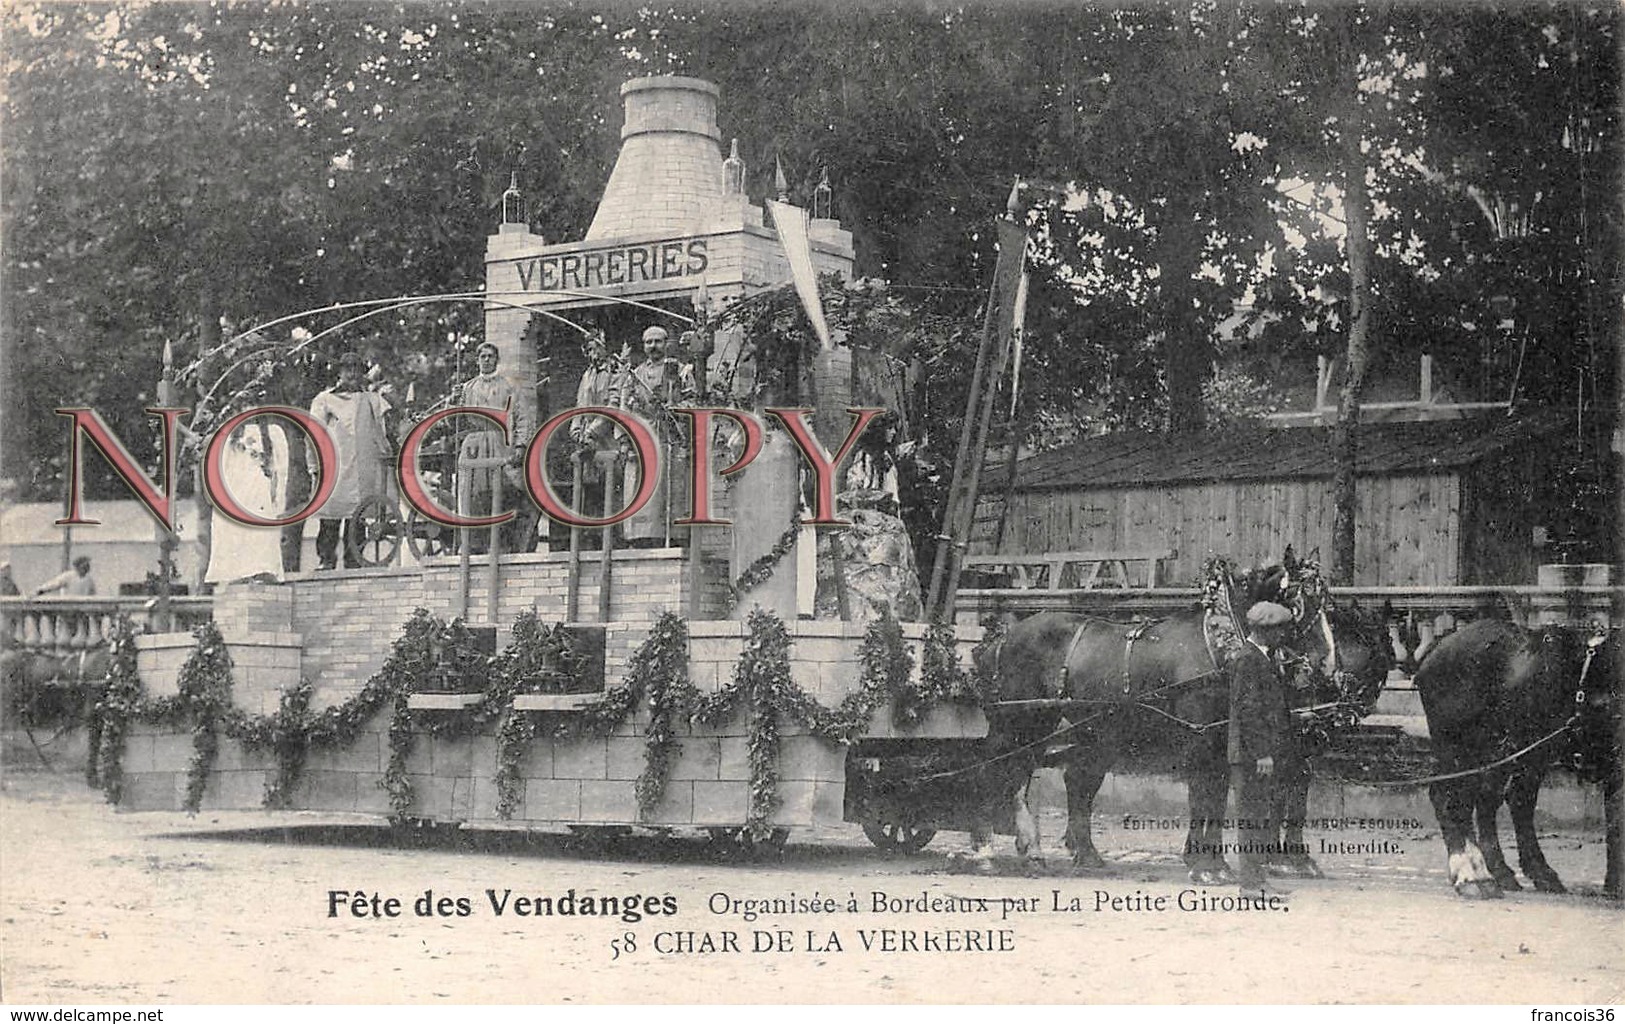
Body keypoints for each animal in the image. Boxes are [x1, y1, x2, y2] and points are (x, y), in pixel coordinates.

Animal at [1410, 617, 1612, 897]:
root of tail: (1437, 650)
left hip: (1512, 751)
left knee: (1493, 800)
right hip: (1460, 747)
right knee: (1450, 798)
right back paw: (1471, 876)